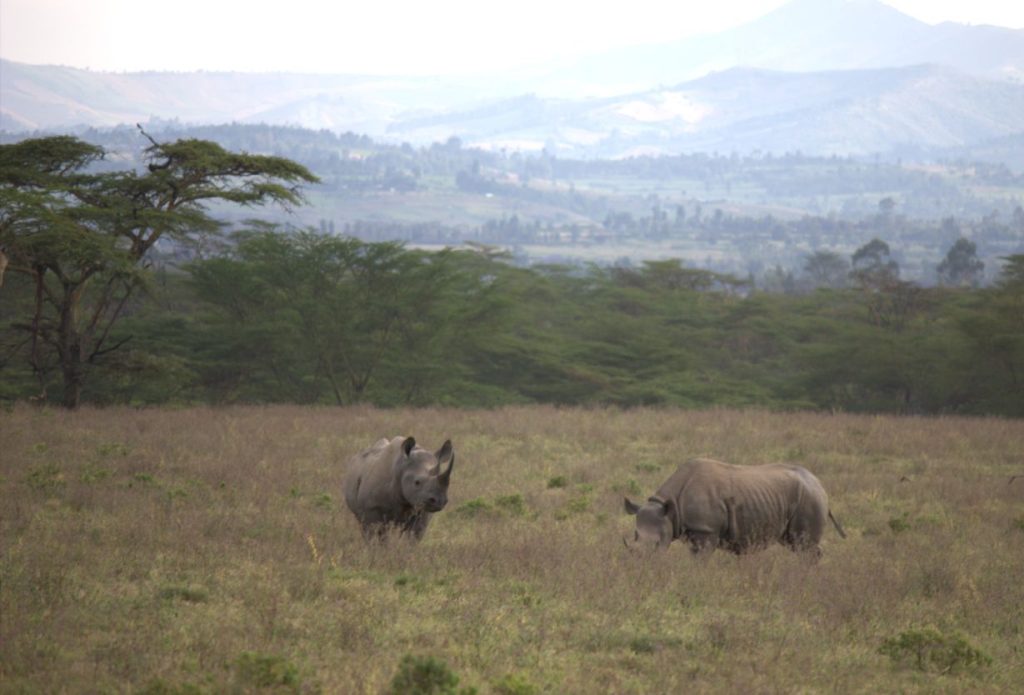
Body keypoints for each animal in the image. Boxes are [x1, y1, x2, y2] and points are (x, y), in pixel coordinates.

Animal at [624, 458, 845, 557]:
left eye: (656, 544)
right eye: (634, 535)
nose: (640, 564)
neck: (670, 508)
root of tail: (819, 484)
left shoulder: (706, 530)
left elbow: (700, 559)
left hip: (810, 497)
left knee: (803, 544)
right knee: (794, 543)